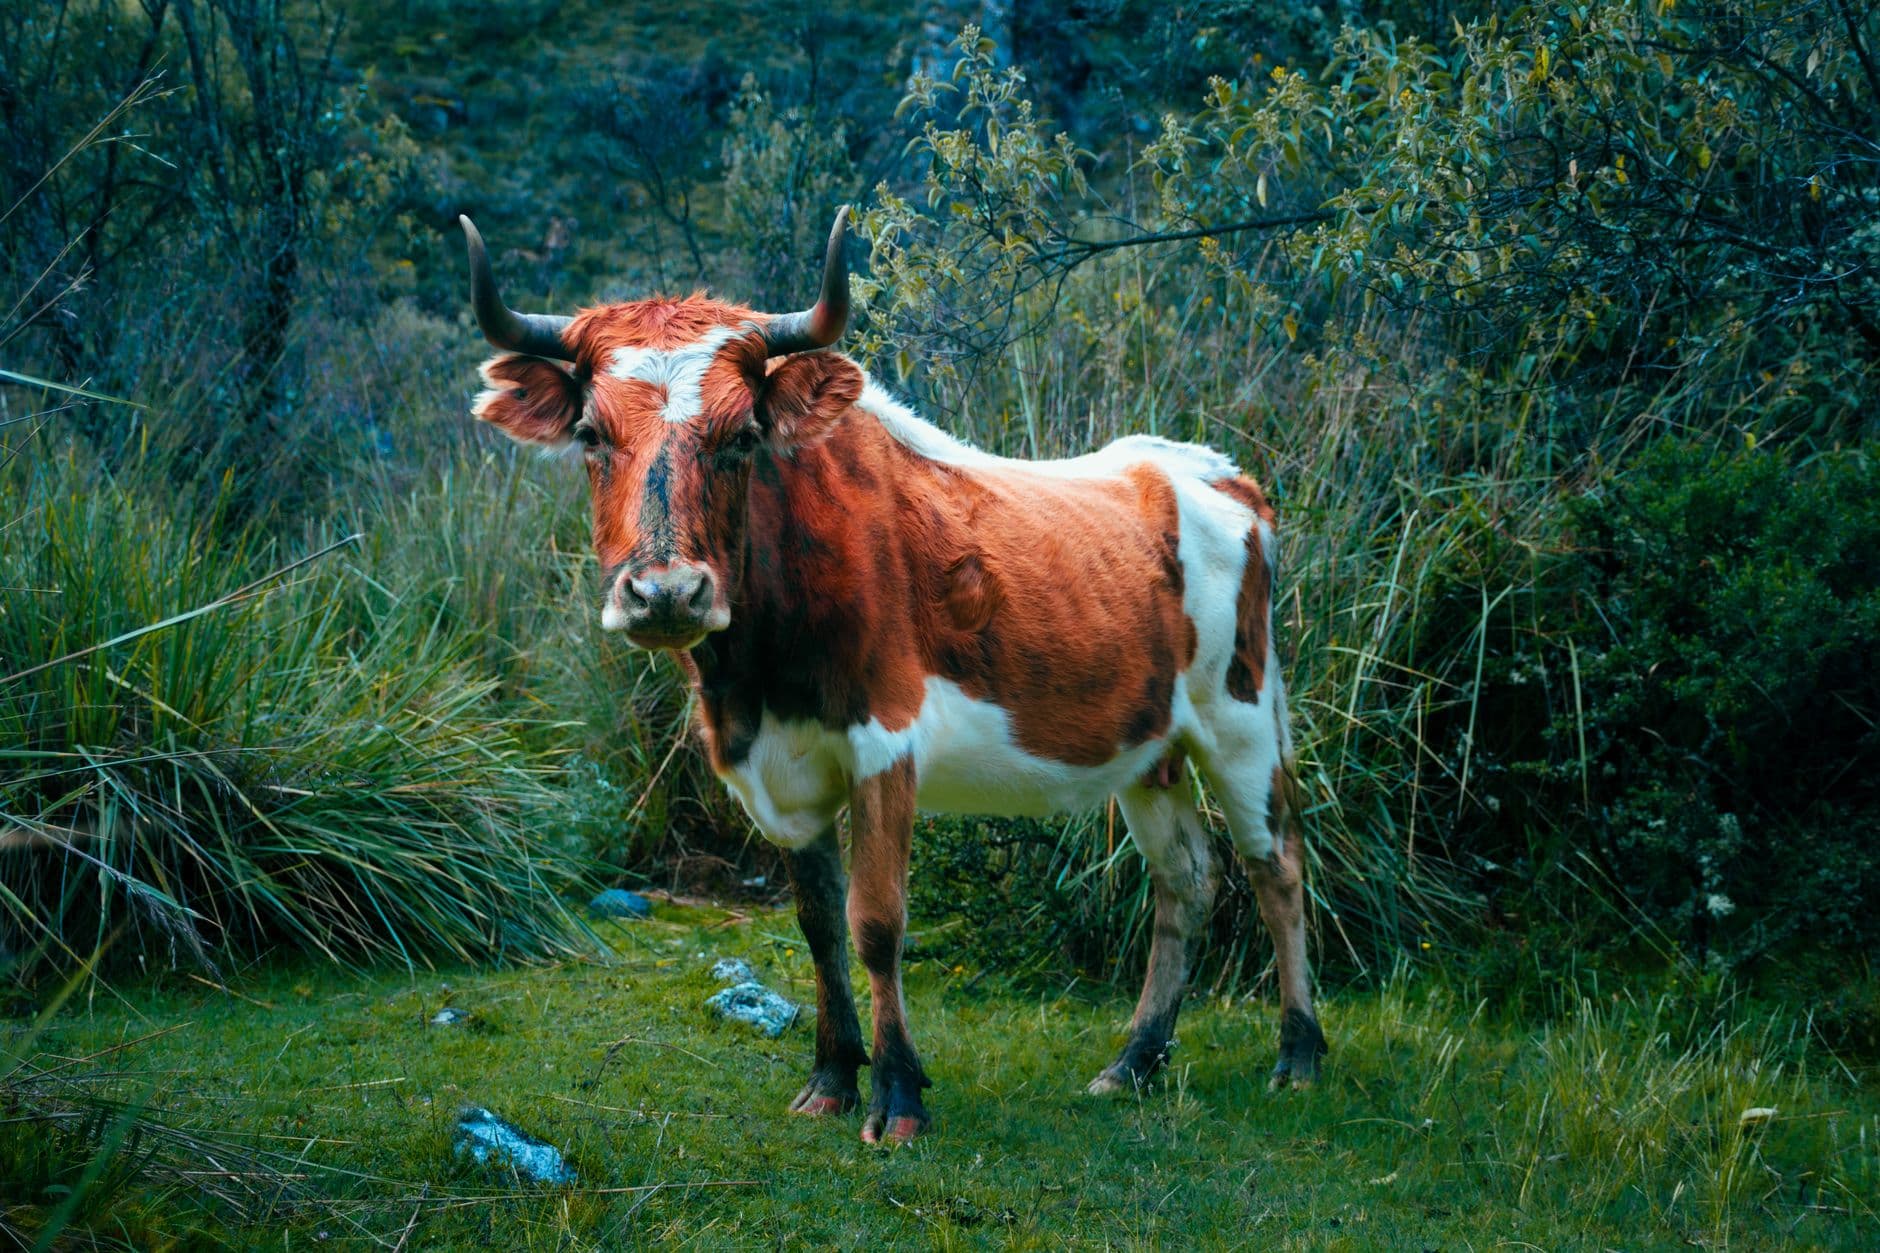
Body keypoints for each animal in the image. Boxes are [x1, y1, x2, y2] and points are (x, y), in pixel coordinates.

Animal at [458, 207, 1325, 1144]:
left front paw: (899, 1093)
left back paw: (1298, 1054)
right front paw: (833, 1077)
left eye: (743, 435)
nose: (665, 592)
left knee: (1276, 863)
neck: (755, 676)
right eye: (590, 435)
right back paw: (1133, 1062)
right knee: (1187, 878)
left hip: (1239, 720)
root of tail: (1208, 468)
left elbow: (875, 921)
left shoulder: (886, 741)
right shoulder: (782, 772)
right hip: (1151, 747)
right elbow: (817, 924)